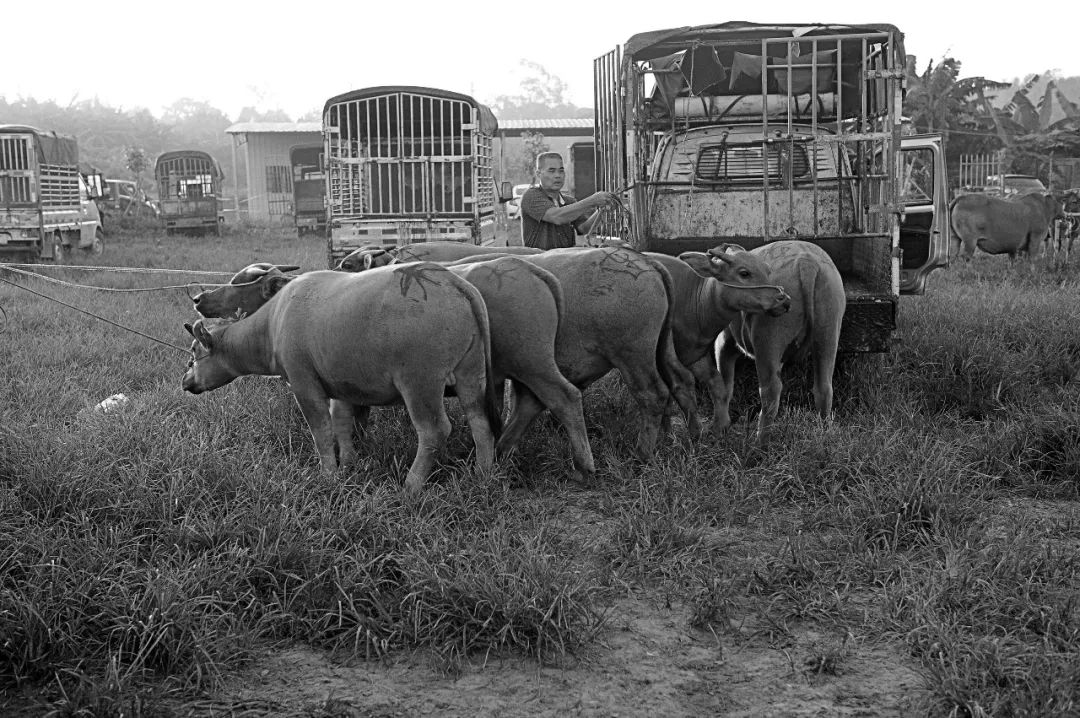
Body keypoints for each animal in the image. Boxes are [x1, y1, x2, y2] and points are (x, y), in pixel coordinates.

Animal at [184, 263, 501, 492]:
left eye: (194, 350)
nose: (186, 381)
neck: (273, 323)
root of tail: (452, 282)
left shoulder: (304, 384)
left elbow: (322, 432)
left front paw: (329, 474)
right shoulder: (341, 388)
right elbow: (342, 425)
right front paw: (349, 463)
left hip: (420, 382)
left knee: (434, 431)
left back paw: (411, 485)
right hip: (471, 373)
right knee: (480, 421)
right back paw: (482, 474)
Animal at [712, 240, 846, 440]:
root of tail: (807, 262)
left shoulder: (724, 342)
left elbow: (724, 387)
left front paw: (720, 428)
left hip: (768, 339)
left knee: (770, 393)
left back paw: (760, 442)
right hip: (828, 331)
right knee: (824, 388)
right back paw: (825, 435)